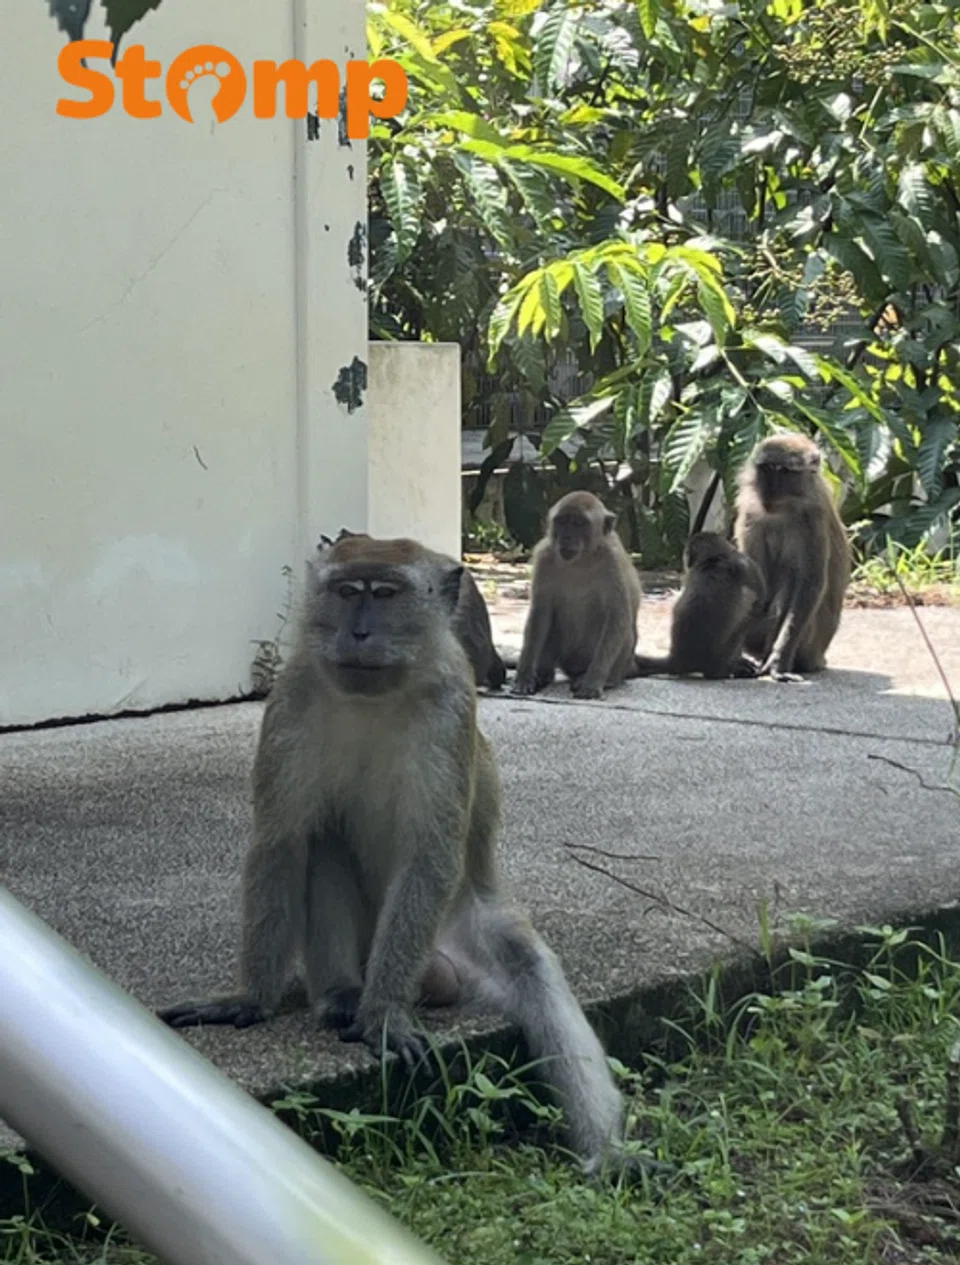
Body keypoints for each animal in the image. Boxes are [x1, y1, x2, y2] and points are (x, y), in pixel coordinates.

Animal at [511, 491, 642, 700]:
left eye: (579, 523)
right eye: (563, 521)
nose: (566, 537)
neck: (582, 560)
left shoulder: (613, 562)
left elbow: (618, 617)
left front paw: (593, 682)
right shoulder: (544, 556)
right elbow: (540, 613)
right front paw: (524, 677)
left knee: (624, 631)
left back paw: (603, 680)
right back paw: (544, 675)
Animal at [632, 532, 766, 680]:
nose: (687, 561)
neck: (715, 559)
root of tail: (678, 660)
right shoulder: (746, 561)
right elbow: (761, 605)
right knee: (744, 623)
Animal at [733, 432, 851, 682]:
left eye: (783, 471)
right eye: (767, 469)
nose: (768, 492)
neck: (782, 510)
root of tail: (819, 658)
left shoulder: (813, 518)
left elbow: (809, 583)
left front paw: (779, 660)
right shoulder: (750, 512)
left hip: (810, 646)